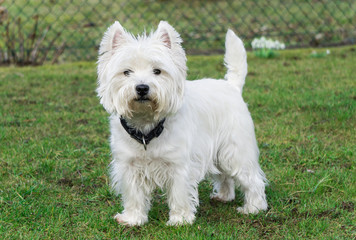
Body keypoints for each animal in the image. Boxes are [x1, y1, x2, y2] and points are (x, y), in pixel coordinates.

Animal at [95, 21, 268, 226]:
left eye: (157, 71)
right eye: (126, 72)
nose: (142, 88)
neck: (146, 128)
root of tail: (231, 86)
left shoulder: (179, 165)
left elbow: (179, 193)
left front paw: (180, 220)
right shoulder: (129, 165)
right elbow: (134, 194)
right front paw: (132, 219)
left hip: (235, 151)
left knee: (252, 179)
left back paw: (253, 208)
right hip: (218, 154)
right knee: (225, 175)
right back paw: (224, 196)